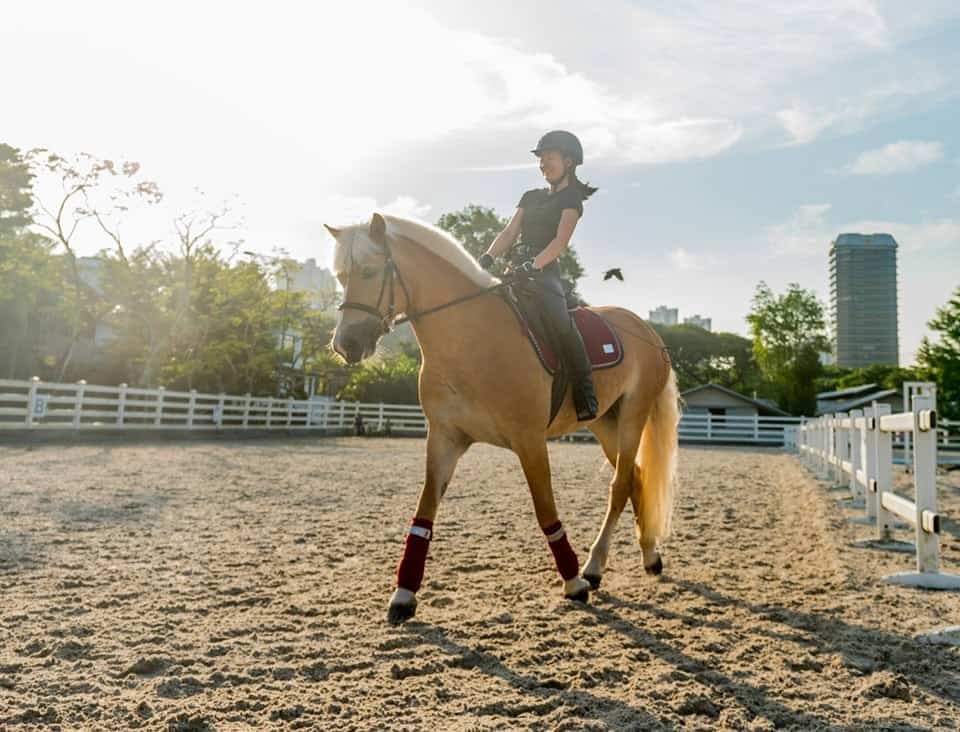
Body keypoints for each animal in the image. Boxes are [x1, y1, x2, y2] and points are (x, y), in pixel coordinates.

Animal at [326, 212, 680, 624]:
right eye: (340, 276)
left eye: (369, 271)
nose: (346, 345)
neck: (471, 338)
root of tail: (646, 329)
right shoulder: (444, 438)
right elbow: (425, 510)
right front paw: (403, 594)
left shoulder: (529, 440)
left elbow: (545, 508)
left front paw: (573, 582)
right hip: (604, 423)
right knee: (636, 479)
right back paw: (649, 556)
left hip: (632, 418)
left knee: (620, 485)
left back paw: (593, 567)